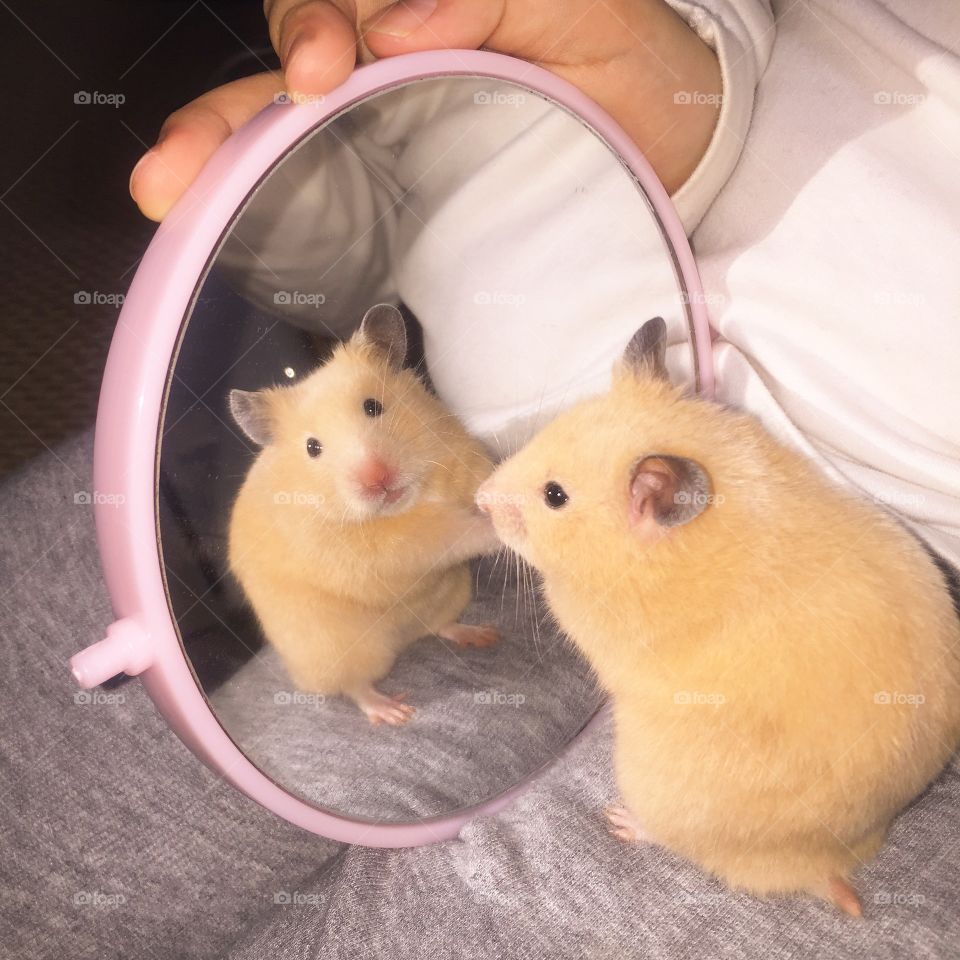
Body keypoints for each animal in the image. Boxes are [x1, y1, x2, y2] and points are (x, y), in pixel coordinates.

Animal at [228, 303, 500, 725]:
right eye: (313, 447)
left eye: (374, 406)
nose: (378, 479)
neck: (415, 497)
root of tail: (405, 639)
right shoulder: (385, 546)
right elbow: (447, 534)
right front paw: (493, 529)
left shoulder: (462, 454)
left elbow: (479, 482)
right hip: (341, 651)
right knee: (355, 687)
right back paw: (394, 712)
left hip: (453, 594)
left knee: (442, 626)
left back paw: (483, 635)